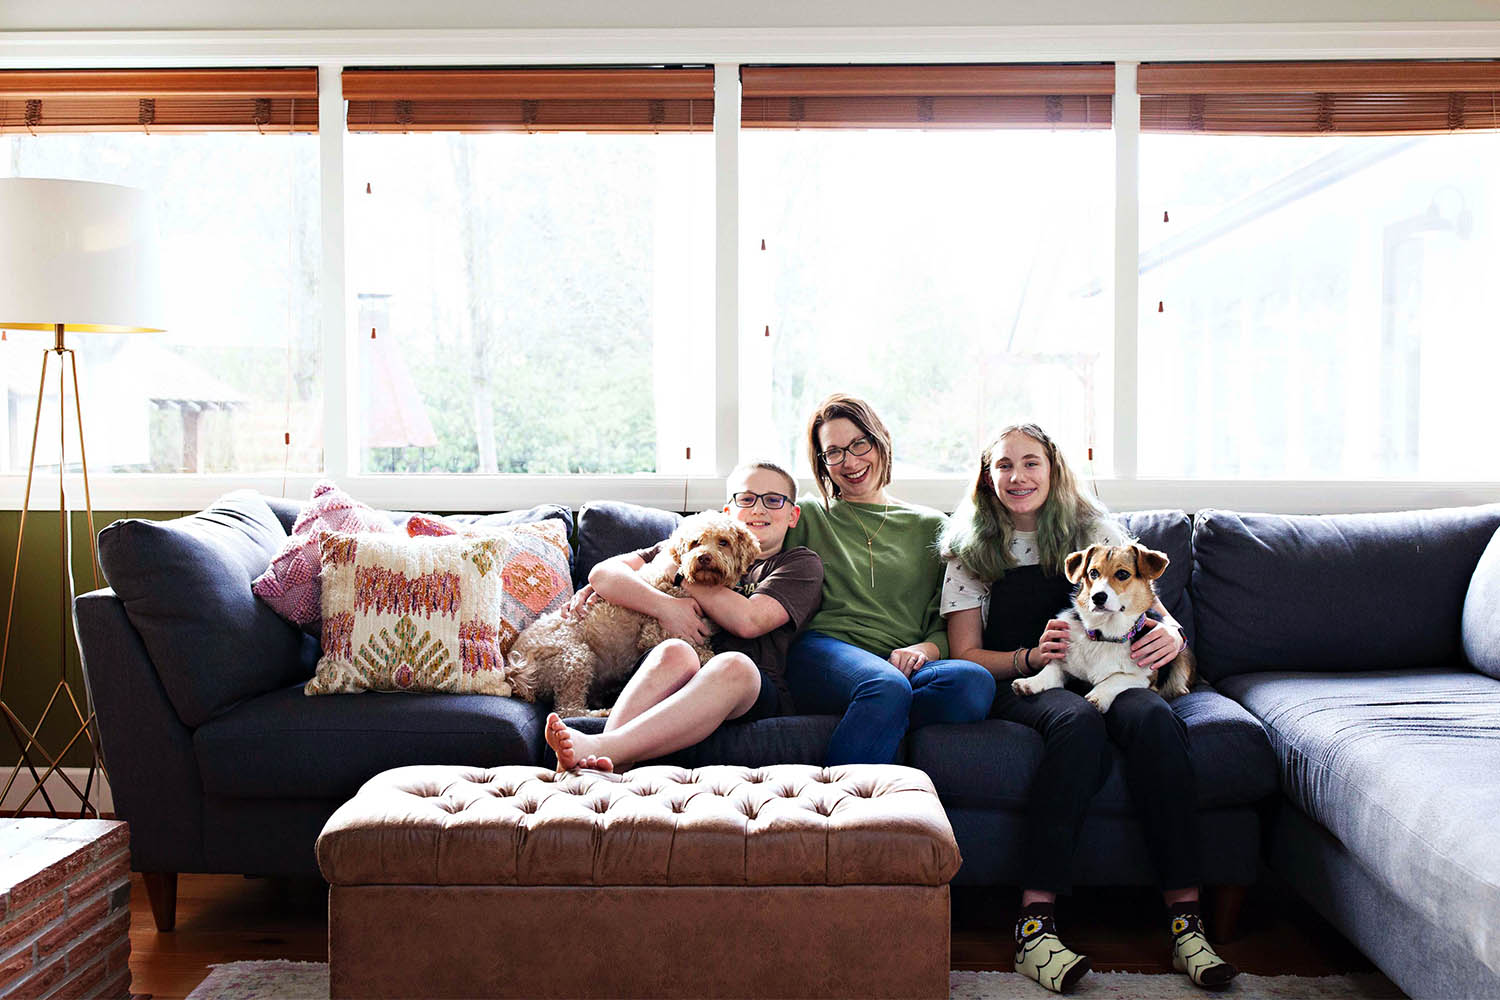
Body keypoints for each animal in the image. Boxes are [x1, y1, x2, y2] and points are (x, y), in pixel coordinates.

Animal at [507, 515, 762, 719]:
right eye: (695, 543)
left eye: (723, 542)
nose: (704, 557)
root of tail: (515, 667)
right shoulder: (659, 633)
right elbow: (705, 653)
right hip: (574, 658)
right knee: (568, 711)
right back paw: (602, 712)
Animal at [1014, 542, 1200, 716]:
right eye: (1093, 573)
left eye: (1122, 574)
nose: (1097, 597)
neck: (1104, 634)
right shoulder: (1063, 660)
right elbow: (1051, 669)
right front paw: (1029, 683)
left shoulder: (1144, 677)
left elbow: (1115, 679)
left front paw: (1098, 696)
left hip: (1182, 655)